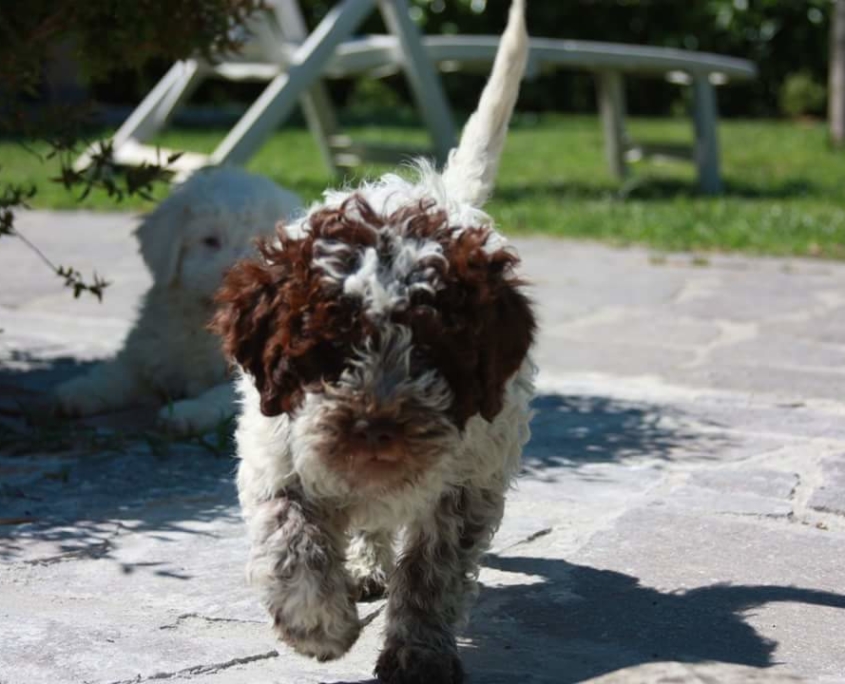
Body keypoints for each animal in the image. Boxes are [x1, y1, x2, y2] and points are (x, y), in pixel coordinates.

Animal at [216, 2, 536, 680]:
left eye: (435, 349)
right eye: (325, 350)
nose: (374, 430)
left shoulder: (470, 484)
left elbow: (433, 573)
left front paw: (418, 652)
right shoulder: (275, 454)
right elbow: (290, 537)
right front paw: (318, 625)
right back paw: (361, 570)